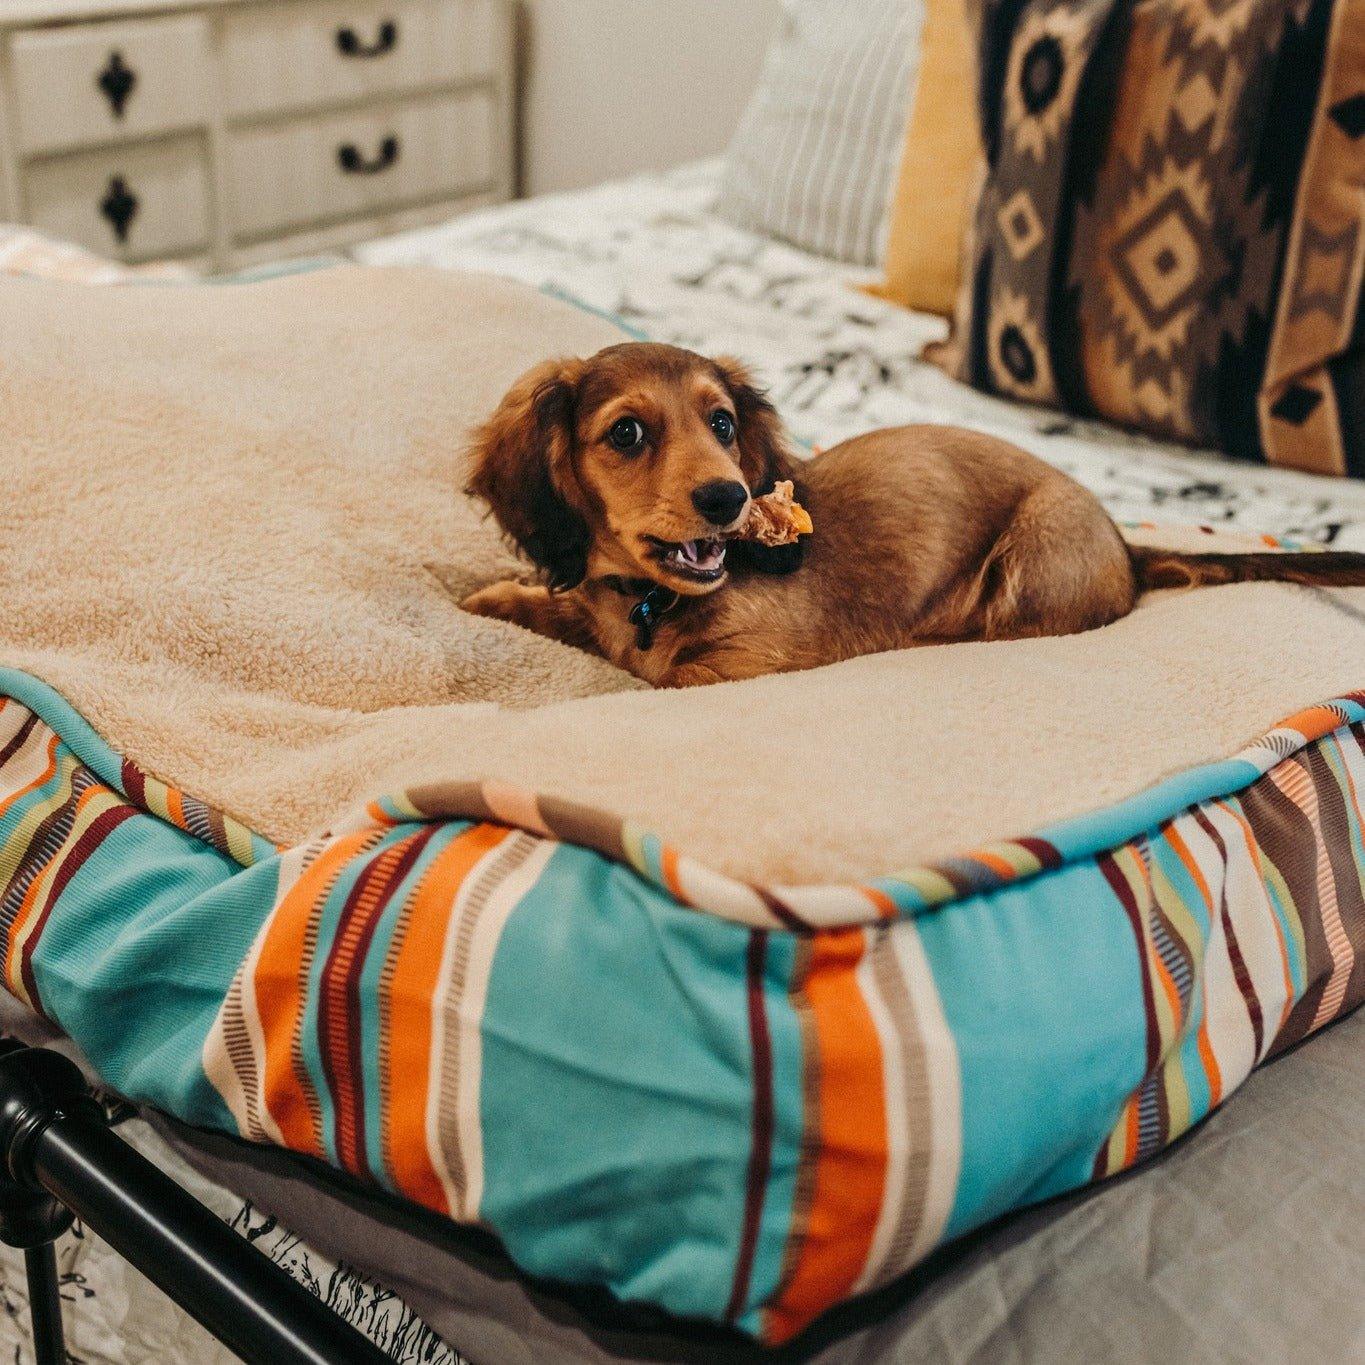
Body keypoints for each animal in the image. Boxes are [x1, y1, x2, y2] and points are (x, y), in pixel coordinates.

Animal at [466, 337, 1365, 687]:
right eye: (626, 432)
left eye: (720, 423)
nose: (727, 497)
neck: (651, 603)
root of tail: (1123, 544)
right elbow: (561, 607)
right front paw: (501, 595)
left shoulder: (740, 667)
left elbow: (649, 679)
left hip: (1032, 556)